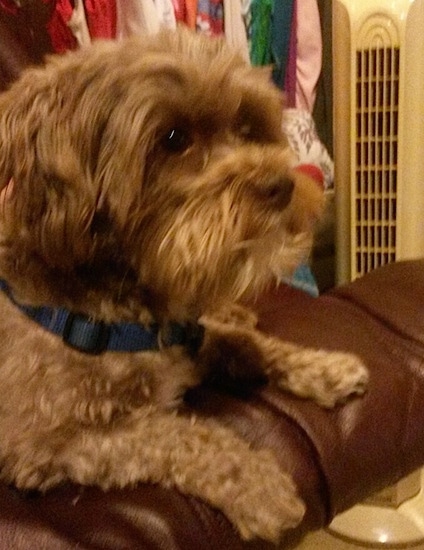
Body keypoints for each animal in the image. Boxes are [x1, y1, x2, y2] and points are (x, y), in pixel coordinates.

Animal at [0, 29, 368, 544]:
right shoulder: (43, 442)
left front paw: (326, 366)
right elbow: (176, 435)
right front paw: (259, 485)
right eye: (174, 139)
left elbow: (248, 343)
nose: (282, 185)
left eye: (246, 125)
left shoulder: (186, 338)